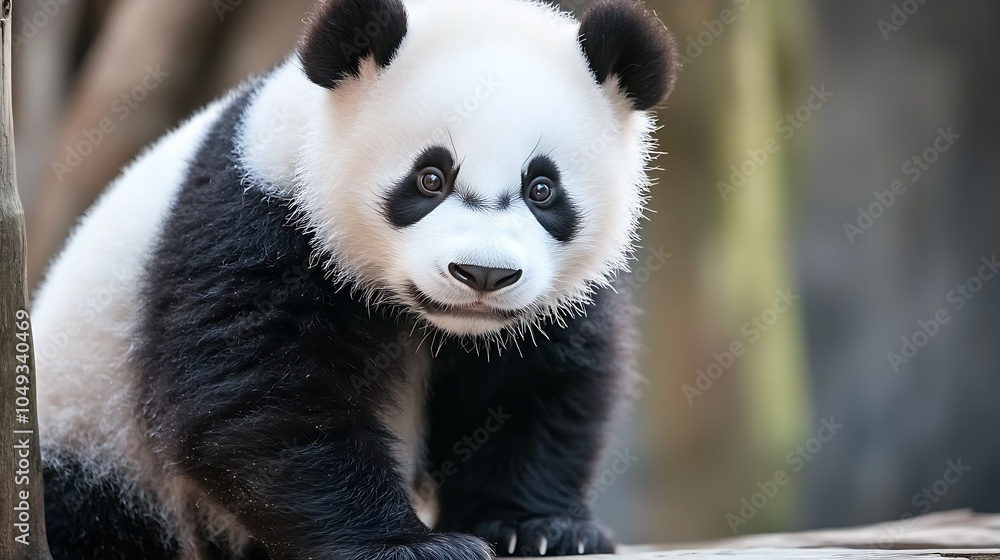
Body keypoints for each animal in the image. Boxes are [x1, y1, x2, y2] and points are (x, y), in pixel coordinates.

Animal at [30, 0, 677, 557]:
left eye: (542, 189)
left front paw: (536, 529)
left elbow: (538, 384)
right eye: (430, 178)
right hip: (92, 435)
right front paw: (409, 546)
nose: (483, 273)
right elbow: (258, 399)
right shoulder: (259, 215)